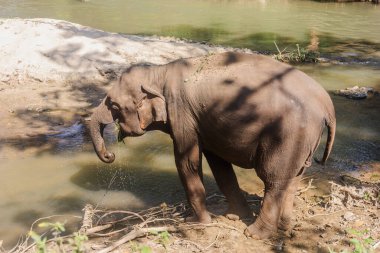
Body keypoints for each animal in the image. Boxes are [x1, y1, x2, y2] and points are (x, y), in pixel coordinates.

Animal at [89, 52, 336, 239]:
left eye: (113, 105)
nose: (110, 155)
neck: (158, 72)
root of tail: (327, 105)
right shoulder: (203, 122)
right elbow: (219, 165)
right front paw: (234, 216)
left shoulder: (182, 113)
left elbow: (186, 162)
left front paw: (195, 222)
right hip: (304, 140)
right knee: (294, 177)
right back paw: (284, 227)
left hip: (288, 134)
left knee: (273, 179)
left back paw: (255, 234)